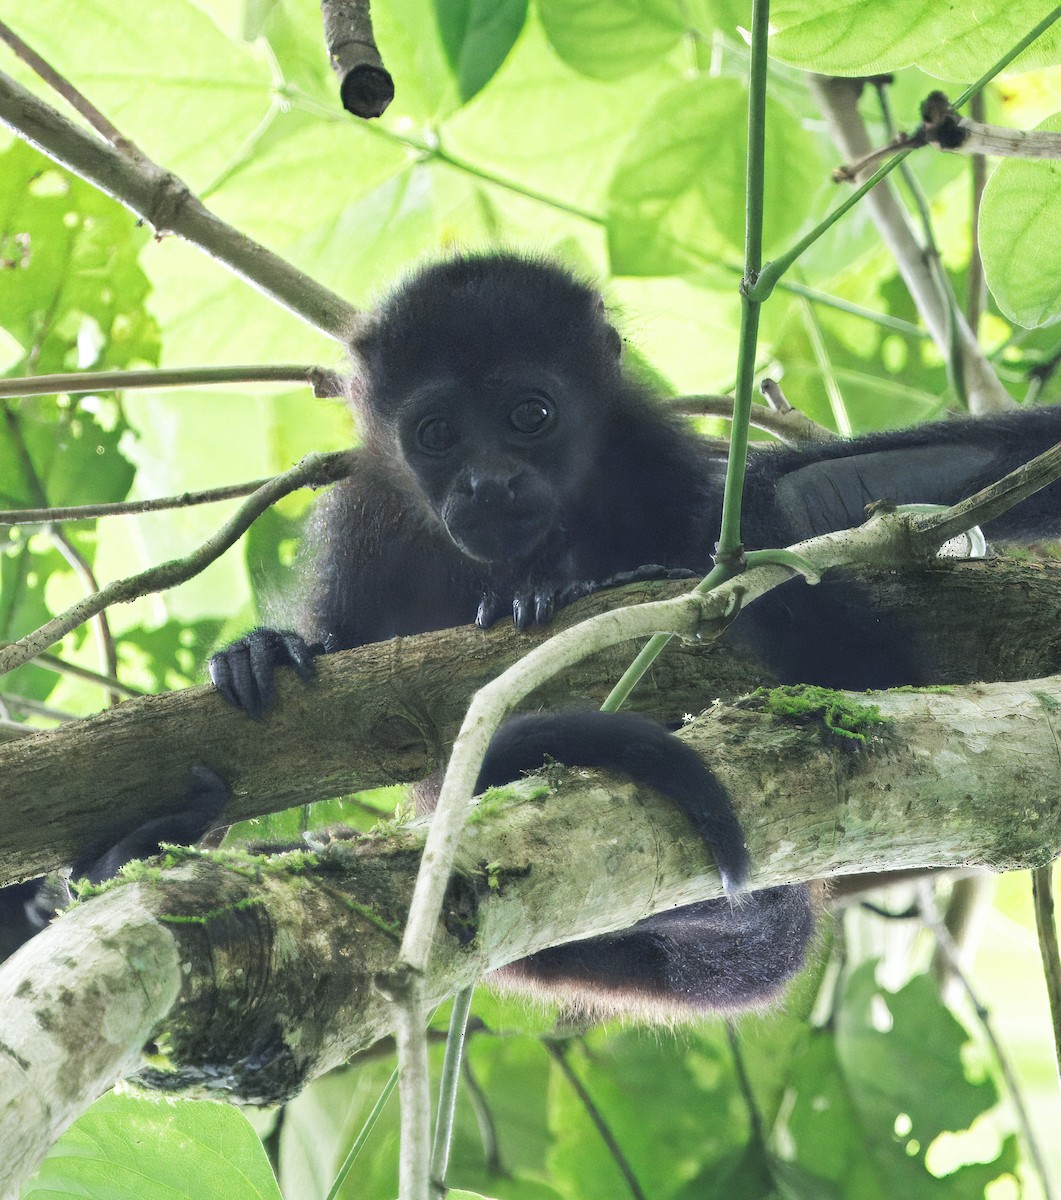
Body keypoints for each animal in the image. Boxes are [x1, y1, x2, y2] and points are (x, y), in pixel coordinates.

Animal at [203, 253, 1061, 1018]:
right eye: (436, 433)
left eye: (530, 415)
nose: (488, 483)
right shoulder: (363, 518)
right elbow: (342, 658)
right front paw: (269, 650)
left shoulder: (654, 458)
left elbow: (854, 658)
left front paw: (584, 582)